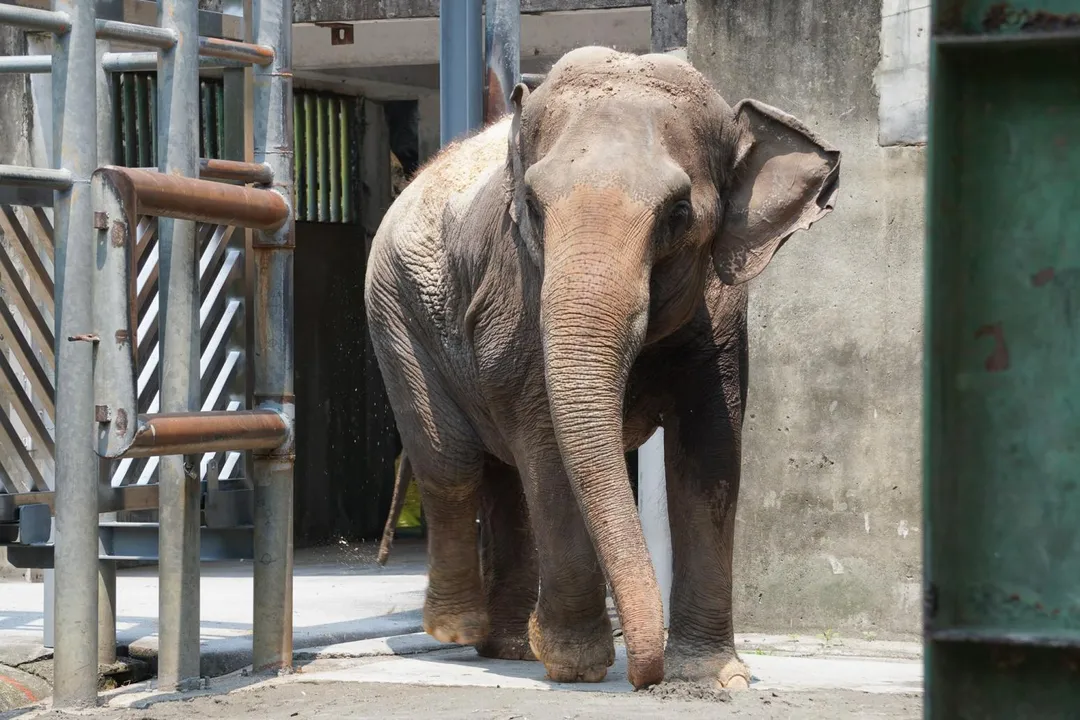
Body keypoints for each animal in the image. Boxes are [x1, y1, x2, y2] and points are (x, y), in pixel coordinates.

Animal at [363, 46, 840, 690]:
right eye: (533, 208)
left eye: (679, 212)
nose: (645, 678)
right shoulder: (518, 298)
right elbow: (547, 450)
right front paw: (577, 666)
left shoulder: (722, 317)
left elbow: (710, 453)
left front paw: (714, 678)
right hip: (396, 314)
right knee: (453, 461)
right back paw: (456, 632)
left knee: (503, 476)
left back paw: (510, 647)